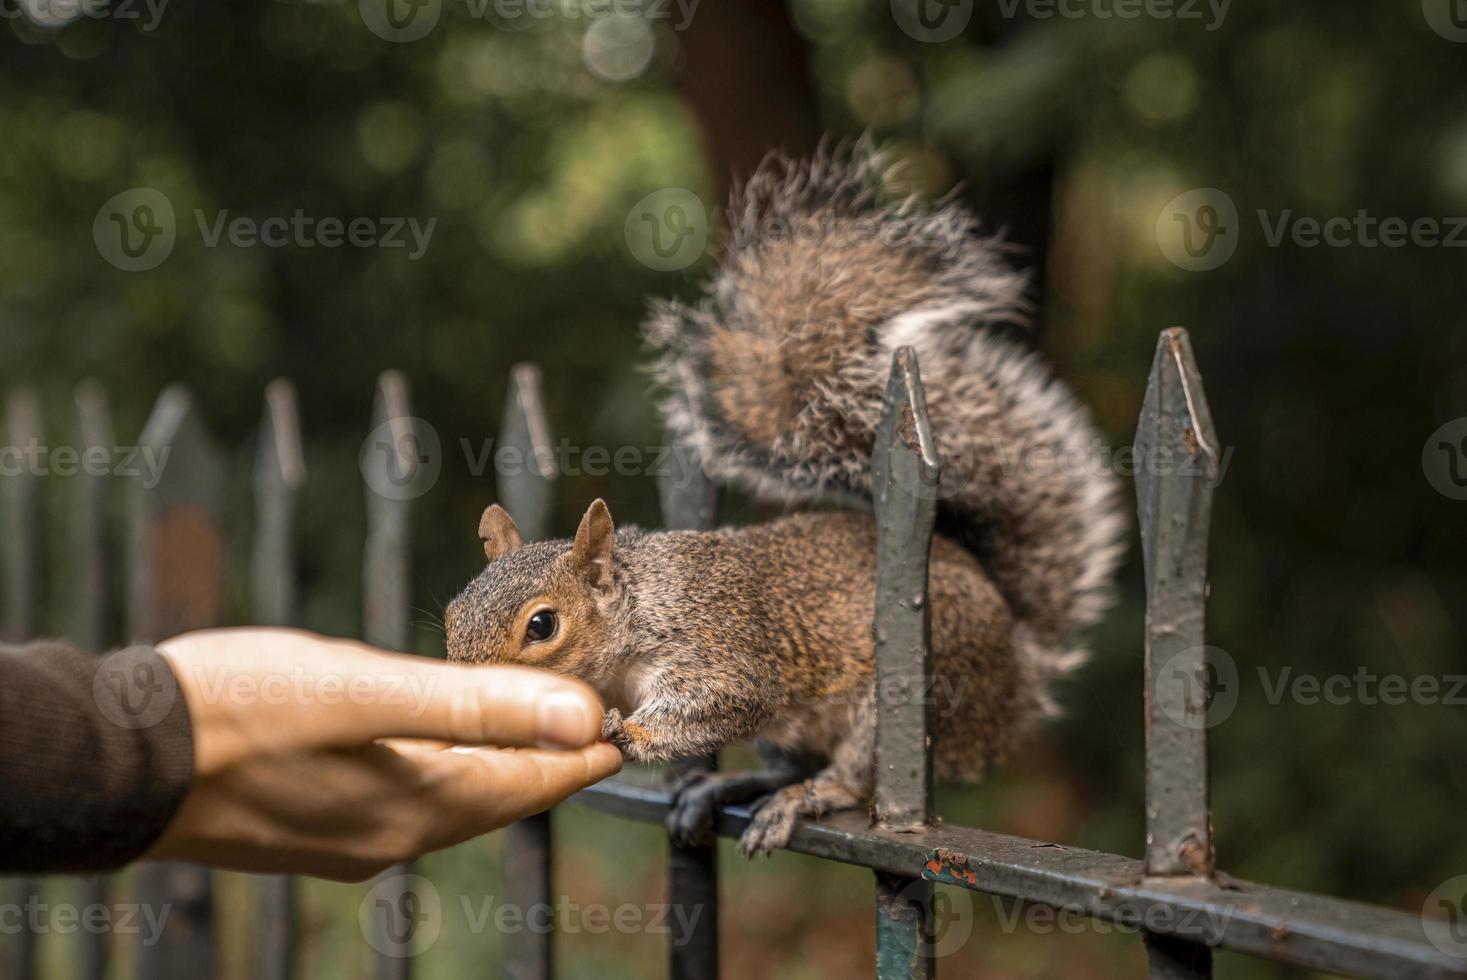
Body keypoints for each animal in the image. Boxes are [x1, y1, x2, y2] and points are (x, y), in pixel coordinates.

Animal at [443, 145, 1120, 856]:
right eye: (453, 615)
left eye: (542, 626)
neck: (638, 610)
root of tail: (1017, 670)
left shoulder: (719, 646)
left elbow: (725, 702)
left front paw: (627, 731)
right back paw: (732, 786)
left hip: (915, 689)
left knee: (850, 777)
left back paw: (803, 797)